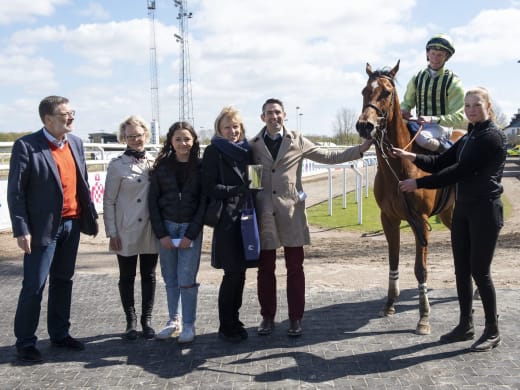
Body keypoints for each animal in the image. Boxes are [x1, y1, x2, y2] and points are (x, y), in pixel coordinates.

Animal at [356, 61, 462, 336]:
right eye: (364, 91)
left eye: (386, 92)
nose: (364, 125)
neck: (400, 166)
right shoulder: (389, 219)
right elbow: (393, 261)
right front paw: (389, 304)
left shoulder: (420, 221)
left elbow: (420, 269)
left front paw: (424, 317)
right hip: (449, 213)